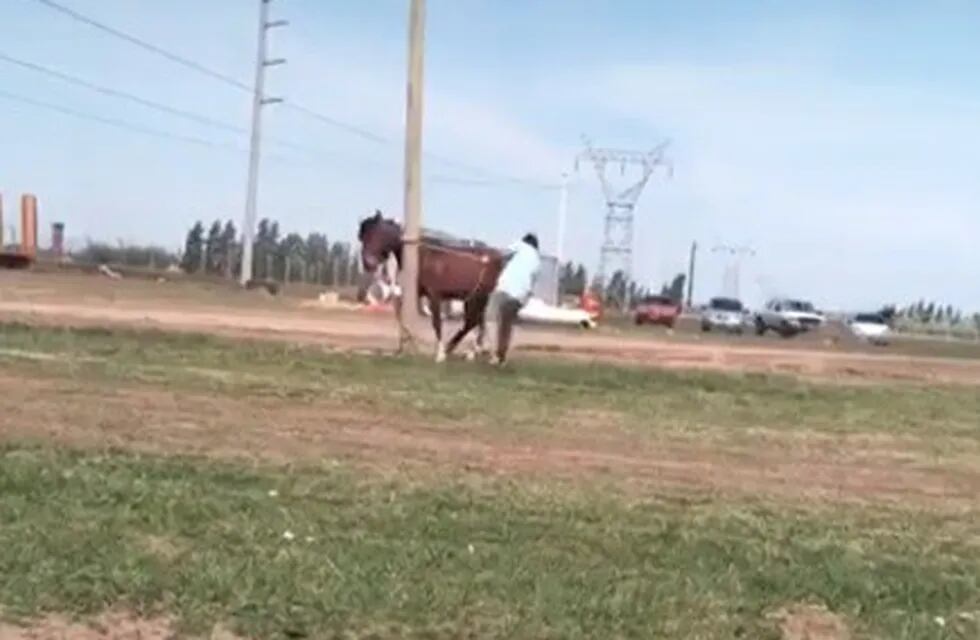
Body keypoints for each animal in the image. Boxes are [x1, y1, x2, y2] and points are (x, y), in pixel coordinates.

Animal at [356, 210, 502, 360]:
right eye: (361, 237)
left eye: (378, 234)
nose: (368, 264)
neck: (422, 258)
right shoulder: (414, 294)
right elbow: (401, 316)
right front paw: (402, 348)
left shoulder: (434, 295)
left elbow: (436, 322)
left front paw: (439, 354)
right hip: (473, 299)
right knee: (478, 323)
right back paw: (474, 353)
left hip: (478, 297)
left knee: (473, 322)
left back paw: (460, 350)